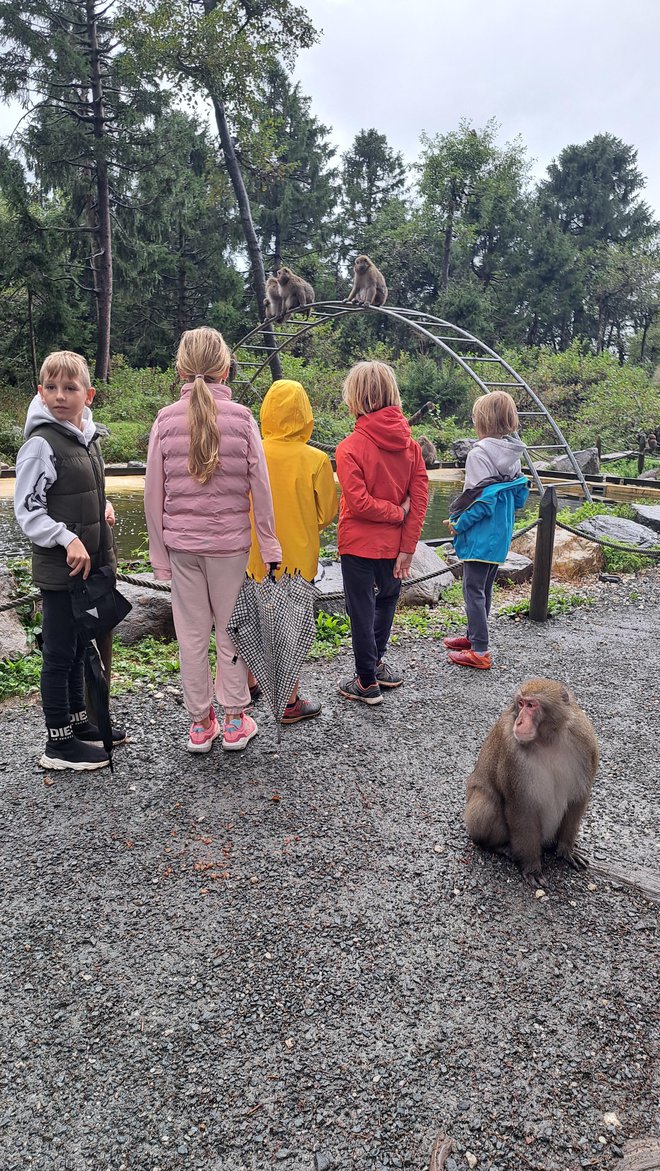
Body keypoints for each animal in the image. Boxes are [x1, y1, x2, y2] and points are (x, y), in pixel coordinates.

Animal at [463, 679, 599, 885]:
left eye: (531, 705)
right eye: (520, 704)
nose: (518, 721)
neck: (548, 740)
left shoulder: (585, 741)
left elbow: (576, 800)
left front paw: (566, 849)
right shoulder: (513, 754)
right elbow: (522, 809)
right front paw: (532, 867)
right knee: (486, 805)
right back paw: (499, 847)